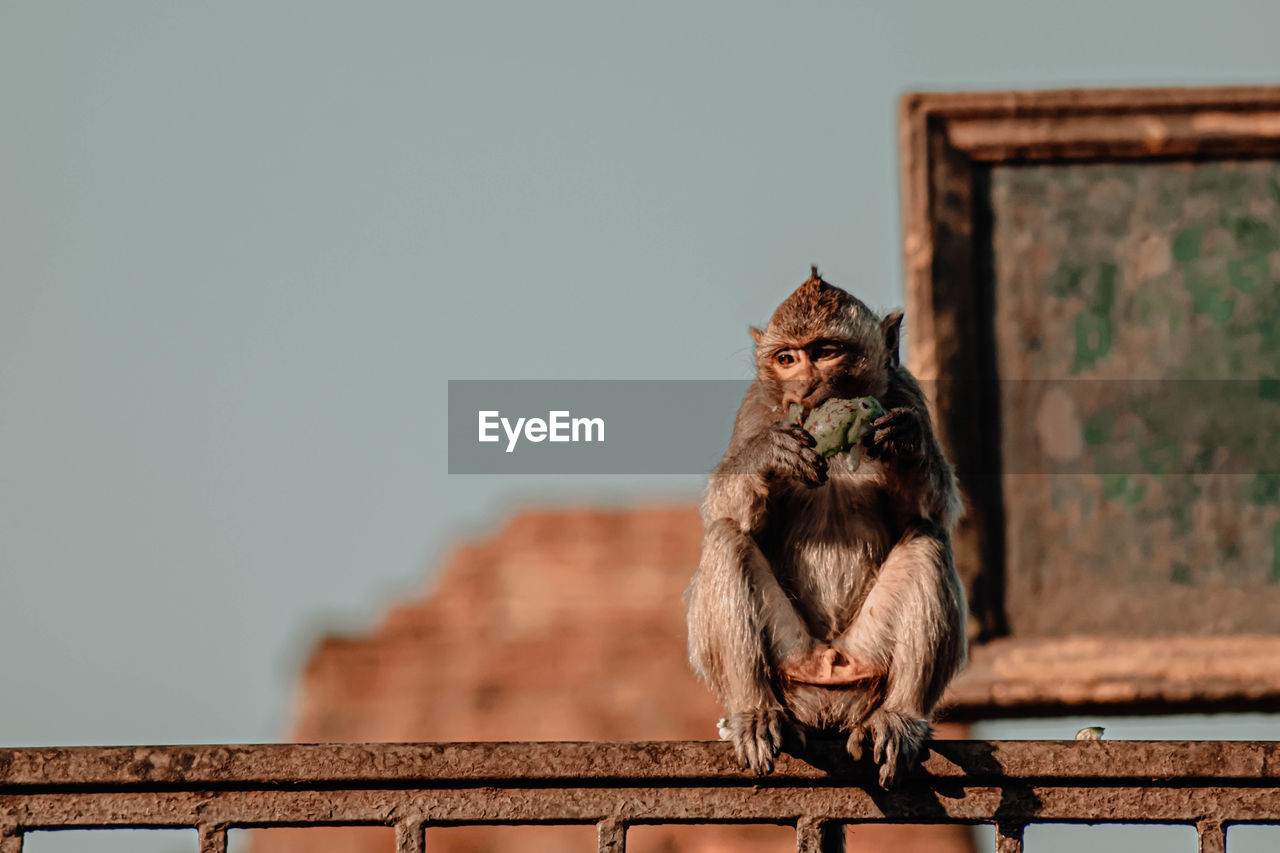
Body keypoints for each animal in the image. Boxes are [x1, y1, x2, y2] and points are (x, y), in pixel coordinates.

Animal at [686, 263, 962, 783]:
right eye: (787, 358)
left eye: (826, 353)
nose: (806, 386)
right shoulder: (758, 406)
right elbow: (732, 511)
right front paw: (770, 455)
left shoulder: (907, 393)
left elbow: (927, 511)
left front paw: (905, 440)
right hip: (790, 659)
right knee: (726, 537)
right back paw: (754, 712)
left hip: (866, 658)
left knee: (928, 541)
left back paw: (899, 717)